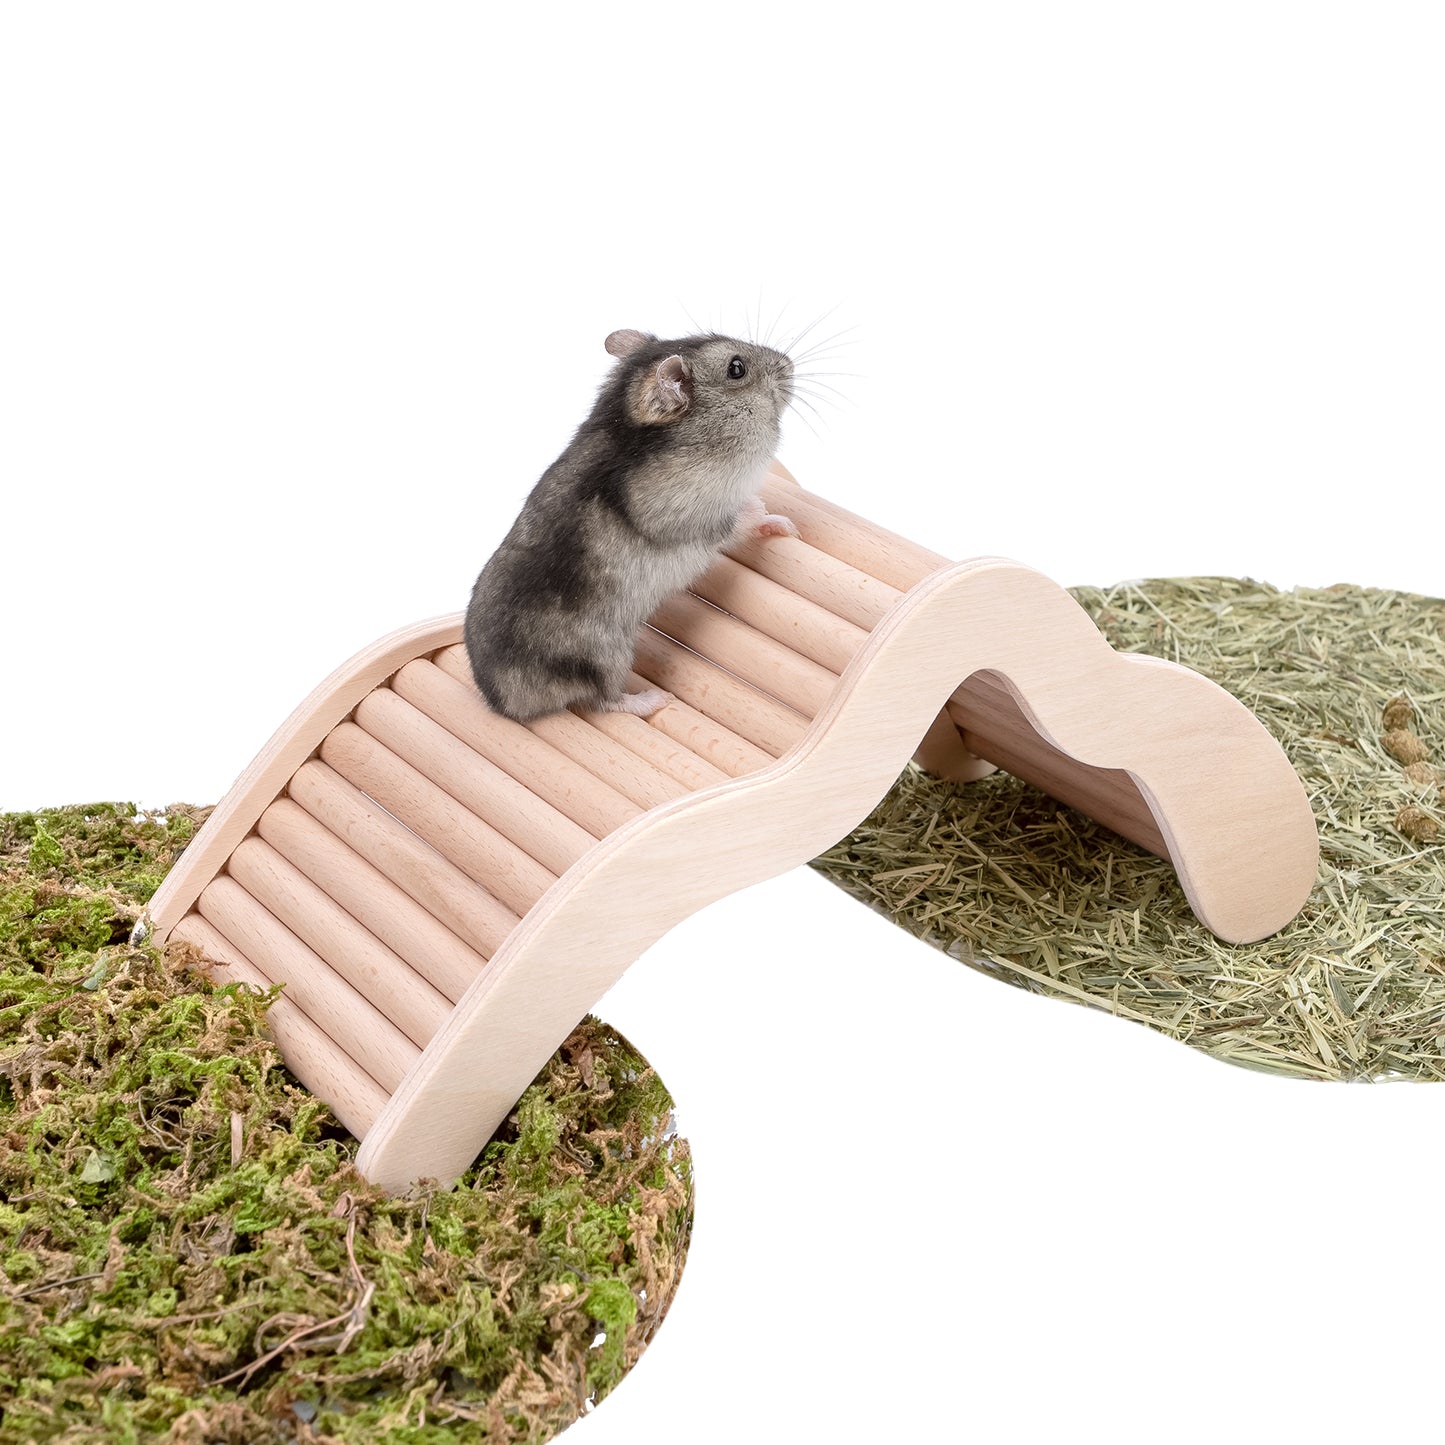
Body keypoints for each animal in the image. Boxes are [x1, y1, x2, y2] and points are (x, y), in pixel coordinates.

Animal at [463, 328, 797, 723]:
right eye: (736, 368)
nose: (790, 364)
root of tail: (500, 704)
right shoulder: (690, 512)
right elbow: (738, 521)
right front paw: (780, 521)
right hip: (606, 655)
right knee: (605, 701)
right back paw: (654, 700)